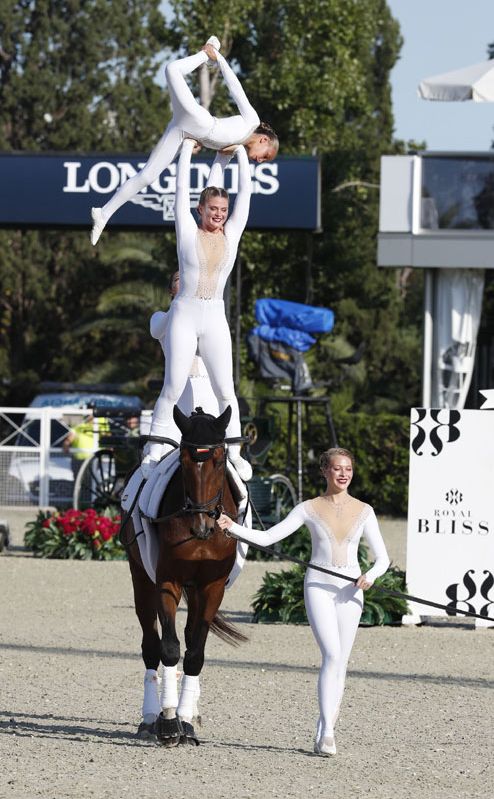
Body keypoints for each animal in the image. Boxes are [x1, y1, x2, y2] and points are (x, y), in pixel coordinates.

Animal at [120, 410, 246, 748]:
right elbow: (169, 649)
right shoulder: (167, 582)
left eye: (219, 459)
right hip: (141, 580)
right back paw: (151, 717)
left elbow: (195, 654)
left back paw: (189, 713)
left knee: (190, 639)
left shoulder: (212, 588)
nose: (201, 526)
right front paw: (168, 723)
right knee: (151, 646)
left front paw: (185, 722)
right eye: (185, 460)